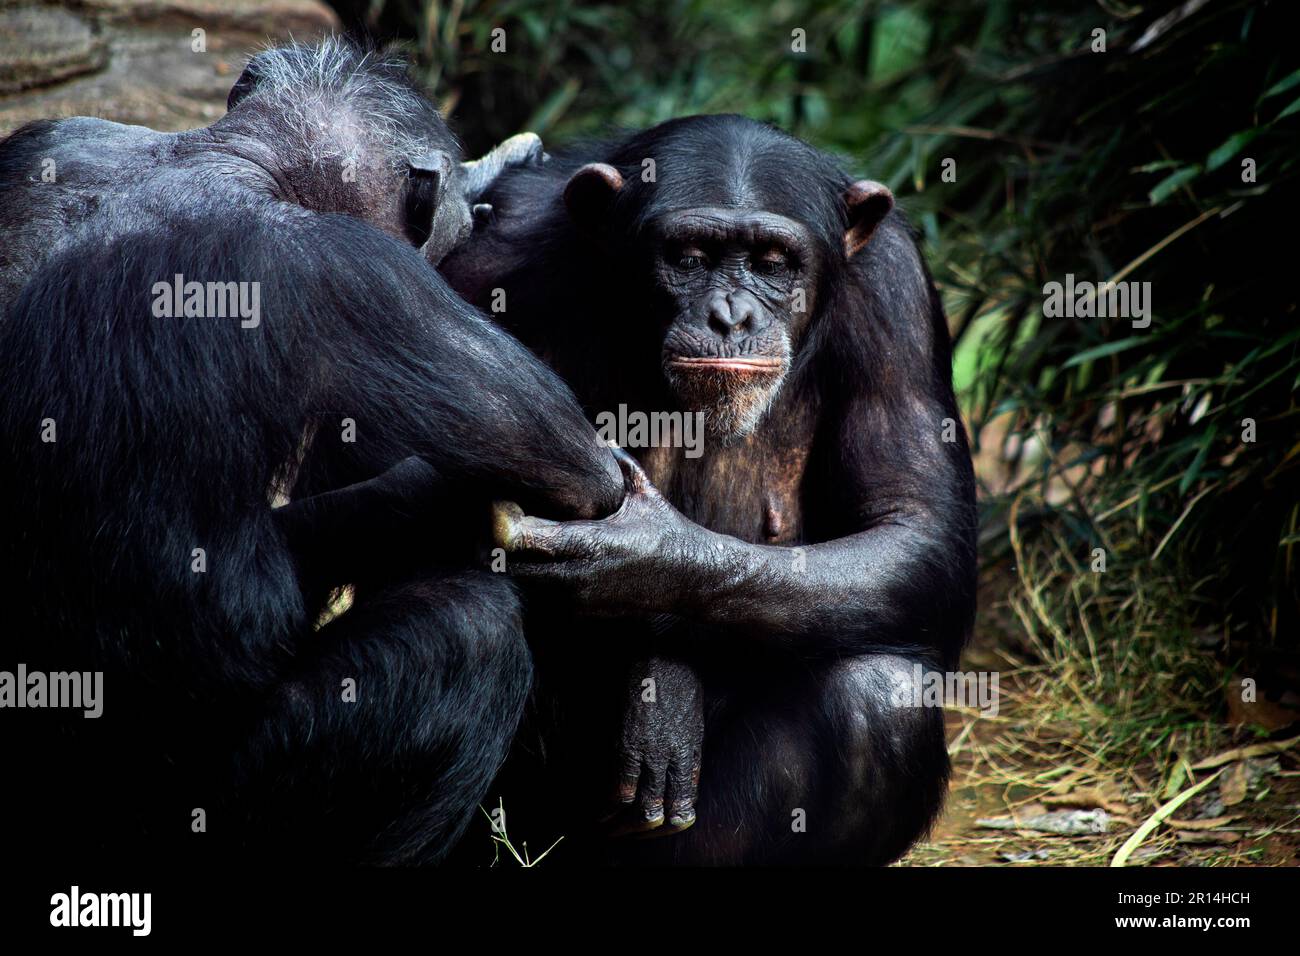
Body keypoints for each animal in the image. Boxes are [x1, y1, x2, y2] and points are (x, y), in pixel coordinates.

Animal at [0, 39, 624, 868]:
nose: (454, 220)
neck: (234, 161)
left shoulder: (47, 142)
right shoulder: (358, 273)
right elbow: (570, 464)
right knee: (467, 634)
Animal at [441, 113, 977, 868]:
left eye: (773, 263)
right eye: (691, 257)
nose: (730, 315)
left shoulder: (895, 291)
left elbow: (912, 525)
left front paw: (639, 566)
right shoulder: (488, 259)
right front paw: (664, 695)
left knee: (880, 698)